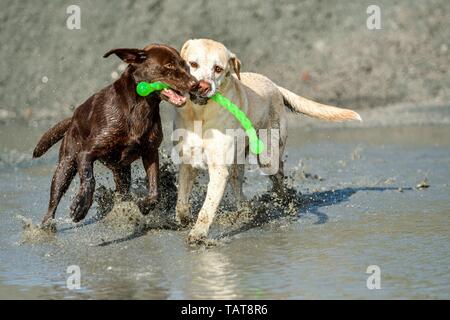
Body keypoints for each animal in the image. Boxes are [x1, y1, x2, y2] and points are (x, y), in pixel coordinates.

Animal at [33, 43, 199, 226]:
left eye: (185, 65)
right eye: (169, 65)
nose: (196, 84)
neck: (141, 105)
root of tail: (73, 118)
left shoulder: (150, 152)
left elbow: (155, 190)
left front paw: (144, 206)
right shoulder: (86, 153)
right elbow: (89, 179)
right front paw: (81, 205)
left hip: (122, 171)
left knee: (122, 191)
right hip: (67, 163)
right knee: (54, 199)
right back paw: (47, 225)